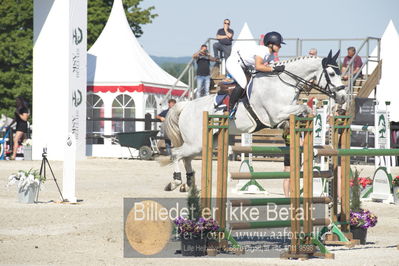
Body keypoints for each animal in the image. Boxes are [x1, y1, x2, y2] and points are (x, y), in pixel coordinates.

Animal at [164, 50, 346, 191]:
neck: (283, 84)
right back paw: (176, 181)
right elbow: (303, 108)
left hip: (206, 143)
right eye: (331, 74)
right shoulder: (275, 114)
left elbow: (303, 111)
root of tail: (186, 106)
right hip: (196, 143)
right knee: (176, 153)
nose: (343, 97)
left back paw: (189, 182)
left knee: (186, 158)